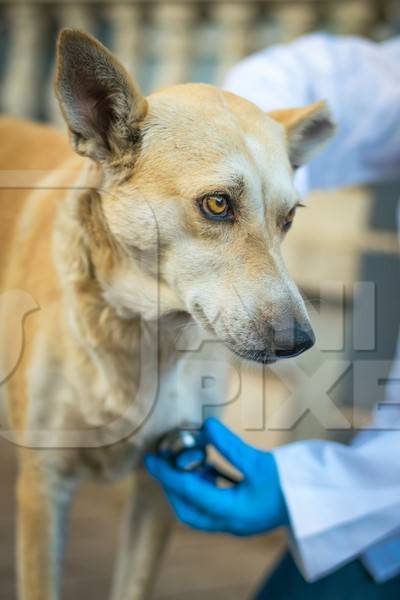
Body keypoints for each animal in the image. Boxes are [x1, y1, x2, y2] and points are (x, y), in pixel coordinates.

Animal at [0, 30, 334, 600]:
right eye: (218, 204)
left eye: (289, 218)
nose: (299, 341)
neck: (141, 336)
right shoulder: (43, 485)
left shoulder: (164, 478)